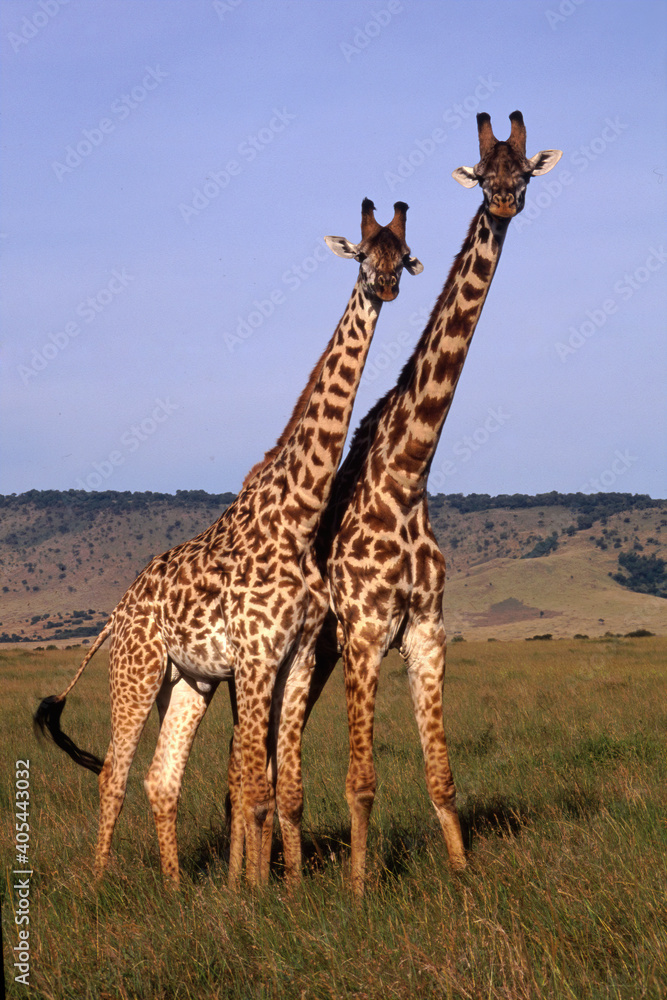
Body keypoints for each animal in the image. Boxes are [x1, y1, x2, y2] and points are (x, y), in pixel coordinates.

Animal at [34, 198, 423, 887]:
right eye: (360, 255)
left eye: (402, 256)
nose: (385, 287)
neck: (298, 517)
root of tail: (115, 614)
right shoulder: (257, 656)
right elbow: (256, 789)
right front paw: (256, 893)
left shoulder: (296, 656)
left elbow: (283, 788)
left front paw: (288, 890)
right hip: (135, 673)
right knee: (113, 774)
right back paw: (100, 883)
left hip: (186, 683)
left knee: (161, 779)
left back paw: (174, 888)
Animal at [259, 111, 563, 893]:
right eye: (482, 172)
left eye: (523, 170)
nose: (504, 201)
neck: (408, 473)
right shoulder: (365, 632)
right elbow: (362, 780)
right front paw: (362, 890)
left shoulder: (427, 630)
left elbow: (442, 776)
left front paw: (462, 876)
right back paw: (280, 876)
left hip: (316, 654)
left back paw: (280, 868)